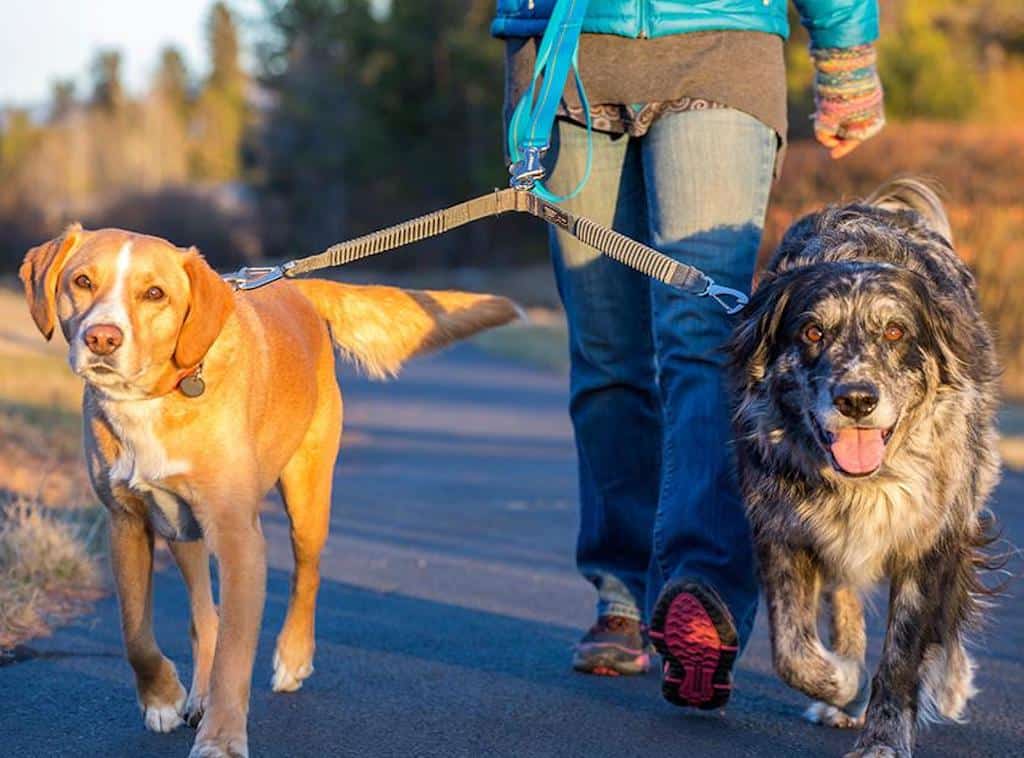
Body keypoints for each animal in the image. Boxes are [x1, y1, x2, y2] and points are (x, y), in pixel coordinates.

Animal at [18, 225, 520, 758]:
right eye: (83, 282)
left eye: (154, 294)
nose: (102, 338)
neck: (160, 395)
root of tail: (297, 286)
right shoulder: (126, 523)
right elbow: (136, 631)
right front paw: (162, 698)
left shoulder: (240, 542)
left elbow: (235, 655)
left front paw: (220, 738)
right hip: (182, 529)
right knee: (204, 615)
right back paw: (197, 691)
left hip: (306, 496)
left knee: (307, 574)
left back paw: (293, 657)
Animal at [729, 179, 999, 758]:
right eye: (812, 333)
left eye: (895, 332)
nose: (856, 399)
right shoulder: (779, 528)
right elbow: (793, 652)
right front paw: (843, 683)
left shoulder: (931, 537)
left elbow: (901, 656)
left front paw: (883, 738)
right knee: (844, 597)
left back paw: (951, 683)